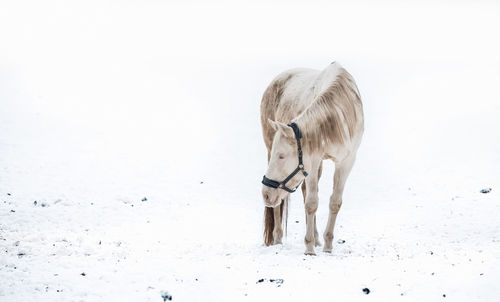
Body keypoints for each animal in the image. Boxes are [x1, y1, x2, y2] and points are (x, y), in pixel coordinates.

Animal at [260, 62, 366, 255]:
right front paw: (309, 248)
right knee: (281, 204)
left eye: (282, 155)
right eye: (277, 155)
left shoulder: (346, 162)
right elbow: (311, 203)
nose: (266, 194)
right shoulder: (311, 161)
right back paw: (278, 238)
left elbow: (334, 202)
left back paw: (316, 238)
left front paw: (327, 246)